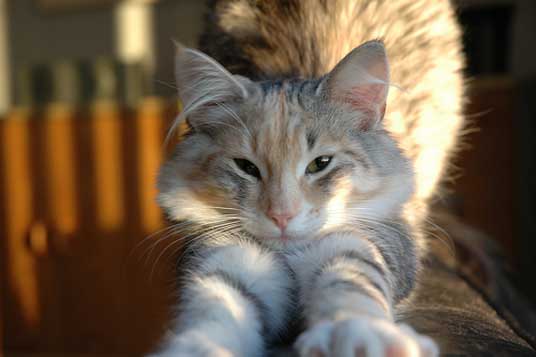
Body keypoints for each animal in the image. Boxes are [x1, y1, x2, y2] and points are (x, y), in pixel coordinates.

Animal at [152, 0, 464, 356]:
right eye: (246, 166)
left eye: (320, 164)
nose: (281, 216)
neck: (288, 256)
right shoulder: (222, 256)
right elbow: (213, 308)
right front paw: (196, 346)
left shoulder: (358, 241)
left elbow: (351, 286)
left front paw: (361, 335)